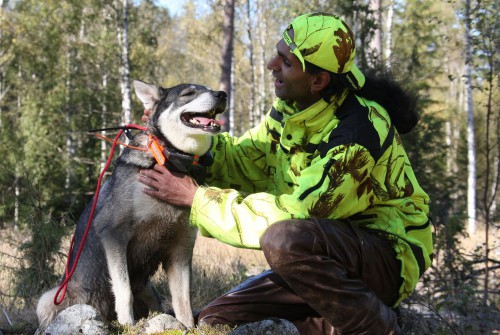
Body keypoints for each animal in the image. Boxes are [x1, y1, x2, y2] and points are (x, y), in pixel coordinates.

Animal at [37, 80, 227, 330]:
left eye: (210, 89)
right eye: (188, 93)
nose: (222, 94)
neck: (169, 161)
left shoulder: (181, 247)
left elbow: (183, 299)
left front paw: (187, 327)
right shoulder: (113, 234)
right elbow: (123, 290)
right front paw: (128, 324)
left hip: (150, 291)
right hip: (49, 299)